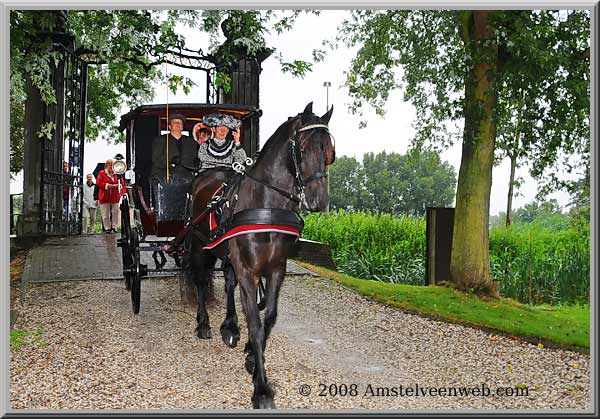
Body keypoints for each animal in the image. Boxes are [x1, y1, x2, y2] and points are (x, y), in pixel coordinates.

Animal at [180, 103, 336, 408]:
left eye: (329, 151)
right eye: (302, 147)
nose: (319, 202)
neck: (266, 204)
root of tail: (205, 175)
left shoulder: (276, 269)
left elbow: (269, 316)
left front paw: (253, 354)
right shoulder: (248, 271)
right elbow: (254, 319)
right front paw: (261, 389)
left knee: (228, 282)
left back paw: (229, 327)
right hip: (199, 245)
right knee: (201, 280)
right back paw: (203, 324)